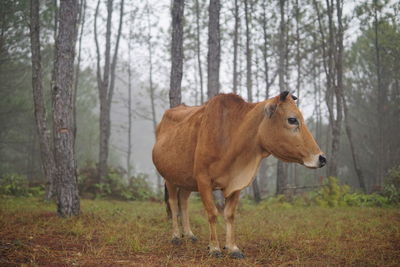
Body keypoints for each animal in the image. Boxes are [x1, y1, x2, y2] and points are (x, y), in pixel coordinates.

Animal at [152, 91, 326, 258]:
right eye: (292, 119)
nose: (322, 158)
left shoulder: (236, 185)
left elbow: (229, 214)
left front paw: (232, 248)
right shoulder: (203, 180)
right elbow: (212, 213)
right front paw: (214, 248)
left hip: (186, 180)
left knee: (183, 202)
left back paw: (189, 234)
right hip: (169, 178)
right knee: (173, 204)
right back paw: (176, 236)